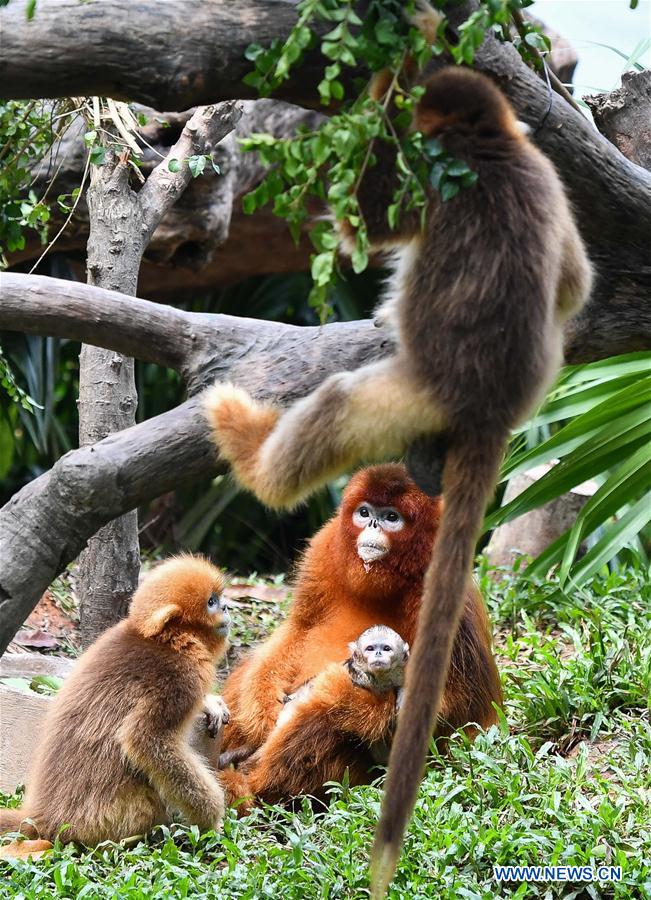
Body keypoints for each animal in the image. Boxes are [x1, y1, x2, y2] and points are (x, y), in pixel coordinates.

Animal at [0, 555, 232, 852]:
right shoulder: (181, 679)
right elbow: (143, 739)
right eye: (211, 602)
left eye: (219, 599)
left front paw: (210, 703)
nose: (226, 607)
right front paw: (211, 821)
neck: (168, 642)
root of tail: (43, 817)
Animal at [217, 465, 501, 787]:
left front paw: (337, 692)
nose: (373, 525)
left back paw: (247, 786)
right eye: (364, 512)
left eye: (391, 517)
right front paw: (260, 706)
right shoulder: (325, 546)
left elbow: (456, 711)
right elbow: (299, 628)